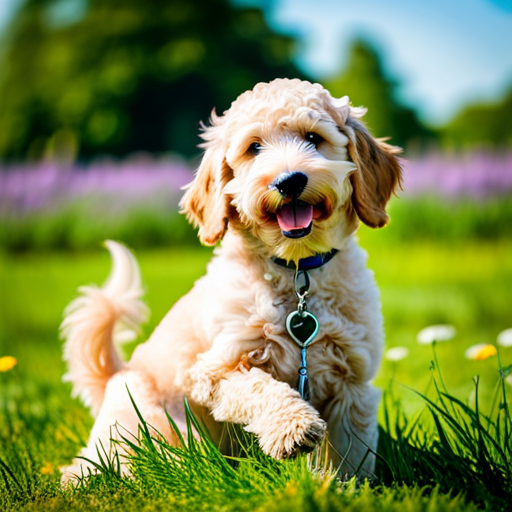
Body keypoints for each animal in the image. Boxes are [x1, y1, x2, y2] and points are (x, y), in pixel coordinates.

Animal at [60, 78, 402, 482]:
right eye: (253, 147)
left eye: (313, 137)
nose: (289, 181)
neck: (296, 273)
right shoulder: (213, 370)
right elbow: (260, 387)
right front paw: (294, 427)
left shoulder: (353, 382)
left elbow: (350, 454)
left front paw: (341, 487)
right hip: (143, 419)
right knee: (100, 466)